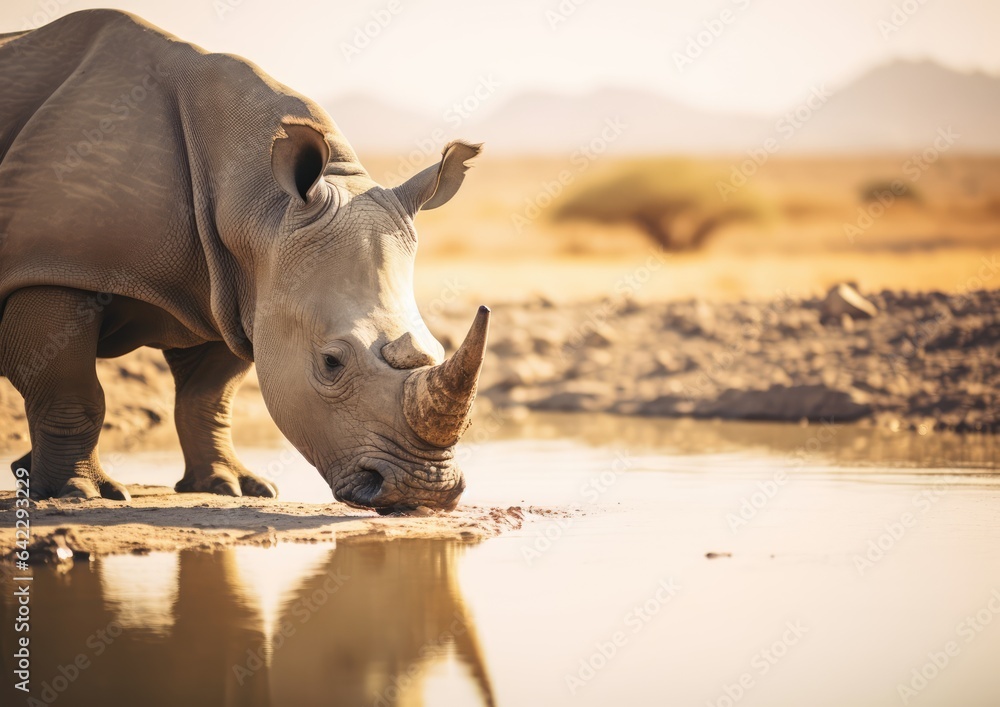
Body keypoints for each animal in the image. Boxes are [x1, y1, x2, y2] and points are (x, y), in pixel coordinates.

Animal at [0, 10, 489, 511]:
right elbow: (71, 391)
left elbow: (208, 397)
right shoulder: (54, 270)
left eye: (438, 350)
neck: (258, 203)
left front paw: (230, 486)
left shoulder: (233, 289)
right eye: (331, 362)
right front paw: (79, 493)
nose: (424, 490)